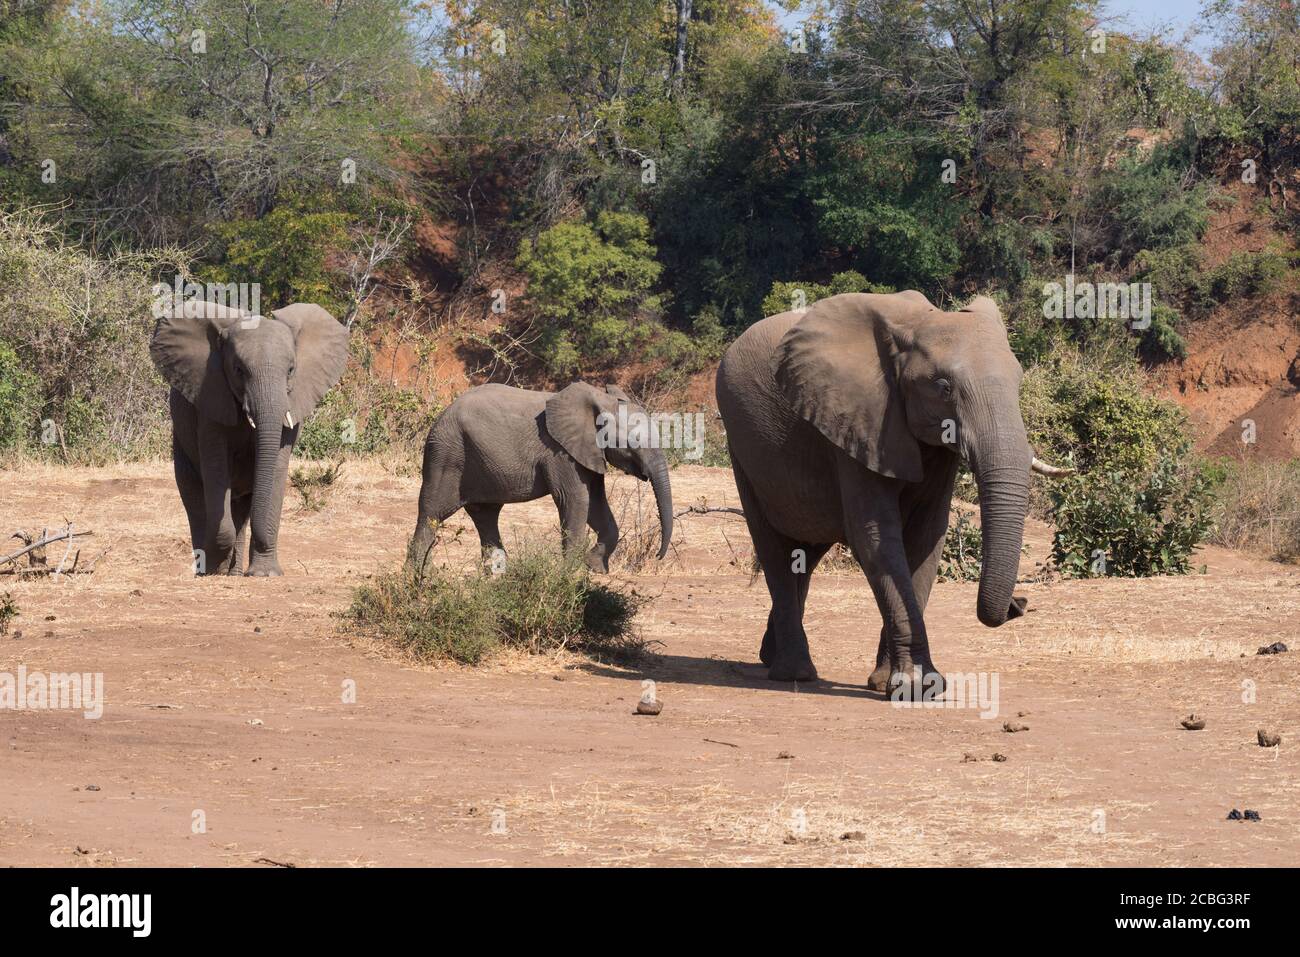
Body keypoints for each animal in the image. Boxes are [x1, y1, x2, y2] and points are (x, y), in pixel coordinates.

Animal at [150, 299, 351, 574]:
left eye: (291, 370)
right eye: (238, 370)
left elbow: (276, 469)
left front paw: (265, 574)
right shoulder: (211, 396)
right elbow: (216, 470)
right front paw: (216, 568)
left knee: (241, 509)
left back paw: (234, 571)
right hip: (181, 446)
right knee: (195, 500)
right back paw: (208, 570)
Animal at [408, 382, 676, 574]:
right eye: (633, 442)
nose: (658, 556)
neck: (601, 400)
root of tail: (440, 416)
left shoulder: (586, 452)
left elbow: (596, 505)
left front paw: (595, 568)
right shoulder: (559, 453)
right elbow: (575, 500)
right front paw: (569, 576)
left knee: (486, 515)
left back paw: (495, 579)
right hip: (446, 456)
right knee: (432, 513)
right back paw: (421, 580)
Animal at [717, 291, 1071, 696]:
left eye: (1018, 382)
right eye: (944, 388)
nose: (1019, 603)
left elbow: (926, 536)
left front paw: (889, 682)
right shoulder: (858, 419)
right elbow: (876, 537)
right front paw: (917, 687)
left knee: (804, 552)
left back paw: (769, 655)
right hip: (740, 446)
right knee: (773, 547)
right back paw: (794, 672)